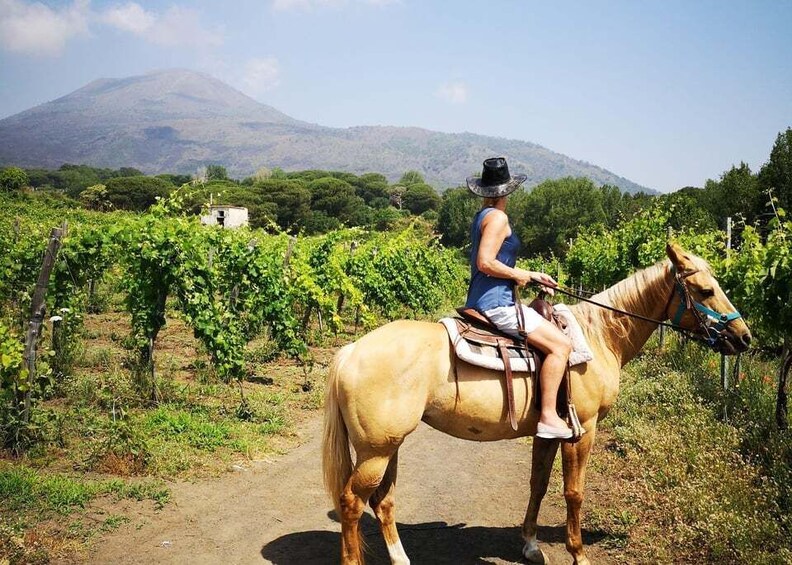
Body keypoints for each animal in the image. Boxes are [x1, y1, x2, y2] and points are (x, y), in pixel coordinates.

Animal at [320, 243, 748, 564]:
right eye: (705, 291)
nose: (743, 337)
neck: (598, 336)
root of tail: (352, 350)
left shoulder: (548, 432)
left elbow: (538, 484)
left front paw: (530, 545)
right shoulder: (582, 430)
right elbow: (573, 492)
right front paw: (578, 553)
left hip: (388, 447)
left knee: (383, 502)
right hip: (376, 451)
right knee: (352, 503)